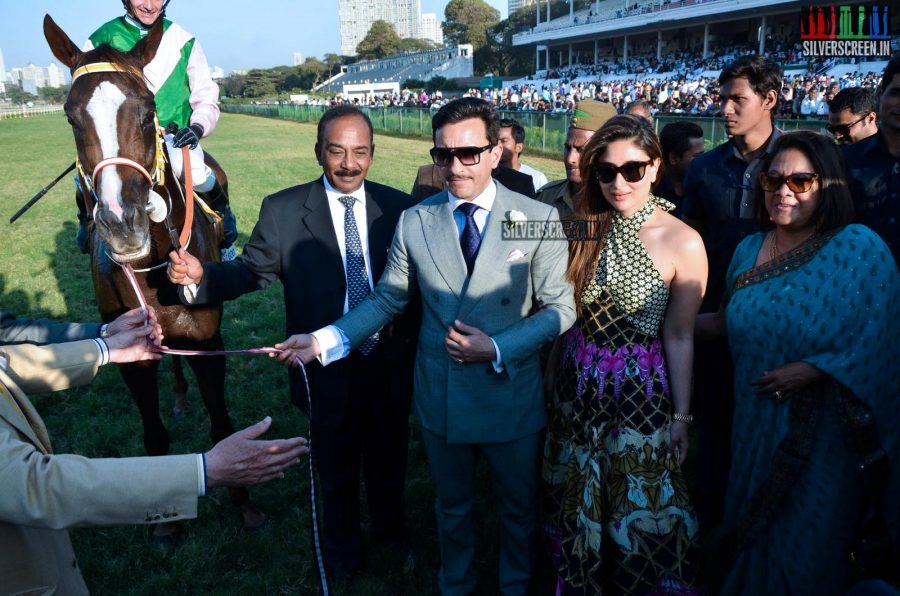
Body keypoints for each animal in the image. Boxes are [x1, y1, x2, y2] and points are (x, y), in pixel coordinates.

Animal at [44, 16, 262, 532]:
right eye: (70, 117)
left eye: (147, 111)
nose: (122, 223)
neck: (153, 266)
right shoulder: (134, 355)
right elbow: (155, 437)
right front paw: (163, 522)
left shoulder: (208, 341)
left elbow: (222, 424)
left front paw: (243, 500)